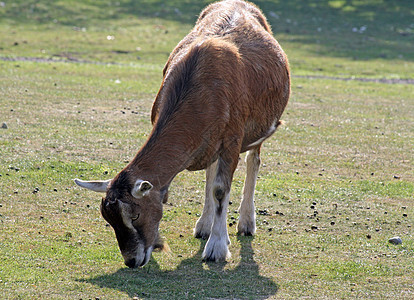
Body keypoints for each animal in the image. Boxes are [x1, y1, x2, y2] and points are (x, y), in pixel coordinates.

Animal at [77, 0, 292, 268]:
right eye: (108, 219)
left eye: (135, 215)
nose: (132, 260)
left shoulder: (233, 138)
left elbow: (221, 189)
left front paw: (217, 248)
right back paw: (204, 226)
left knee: (254, 160)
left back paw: (245, 223)